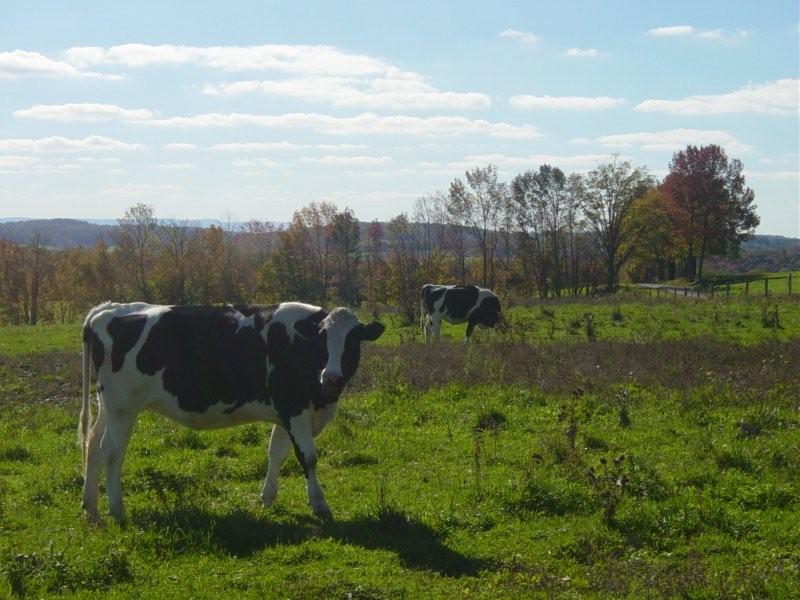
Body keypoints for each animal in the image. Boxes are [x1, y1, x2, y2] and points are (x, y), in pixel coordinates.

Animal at [79, 301, 384, 523]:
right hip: (123, 408)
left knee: (92, 445)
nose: (331, 378)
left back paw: (91, 508)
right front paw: (319, 505)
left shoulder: (285, 412)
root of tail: (109, 308)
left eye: (354, 340)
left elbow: (276, 452)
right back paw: (116, 510)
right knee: (112, 452)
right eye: (321, 339)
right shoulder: (295, 408)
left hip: (107, 405)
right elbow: (307, 457)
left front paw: (267, 498)